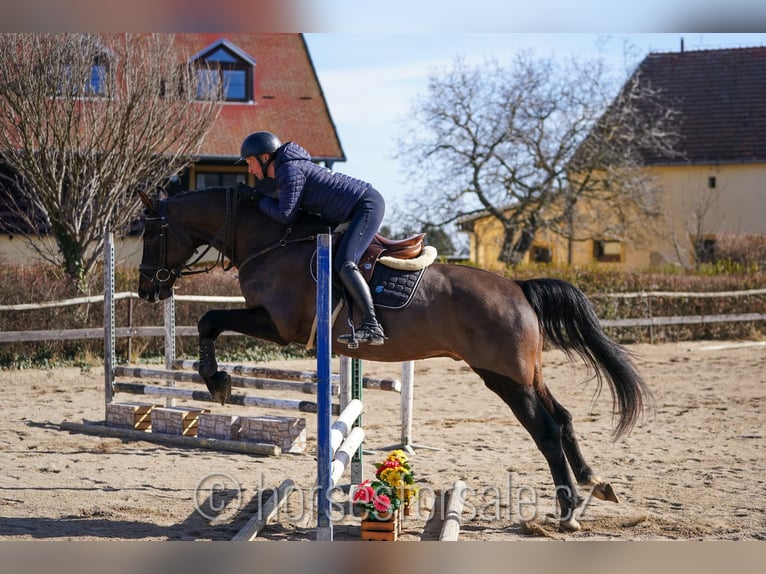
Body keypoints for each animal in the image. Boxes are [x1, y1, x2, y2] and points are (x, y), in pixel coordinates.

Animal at [136, 186, 656, 532]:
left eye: (151, 232)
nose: (146, 290)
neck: (270, 240)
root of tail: (518, 288)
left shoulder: (279, 325)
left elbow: (209, 320)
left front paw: (217, 382)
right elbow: (211, 322)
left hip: (503, 376)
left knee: (546, 429)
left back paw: (567, 511)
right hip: (526, 373)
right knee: (563, 418)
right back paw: (594, 484)